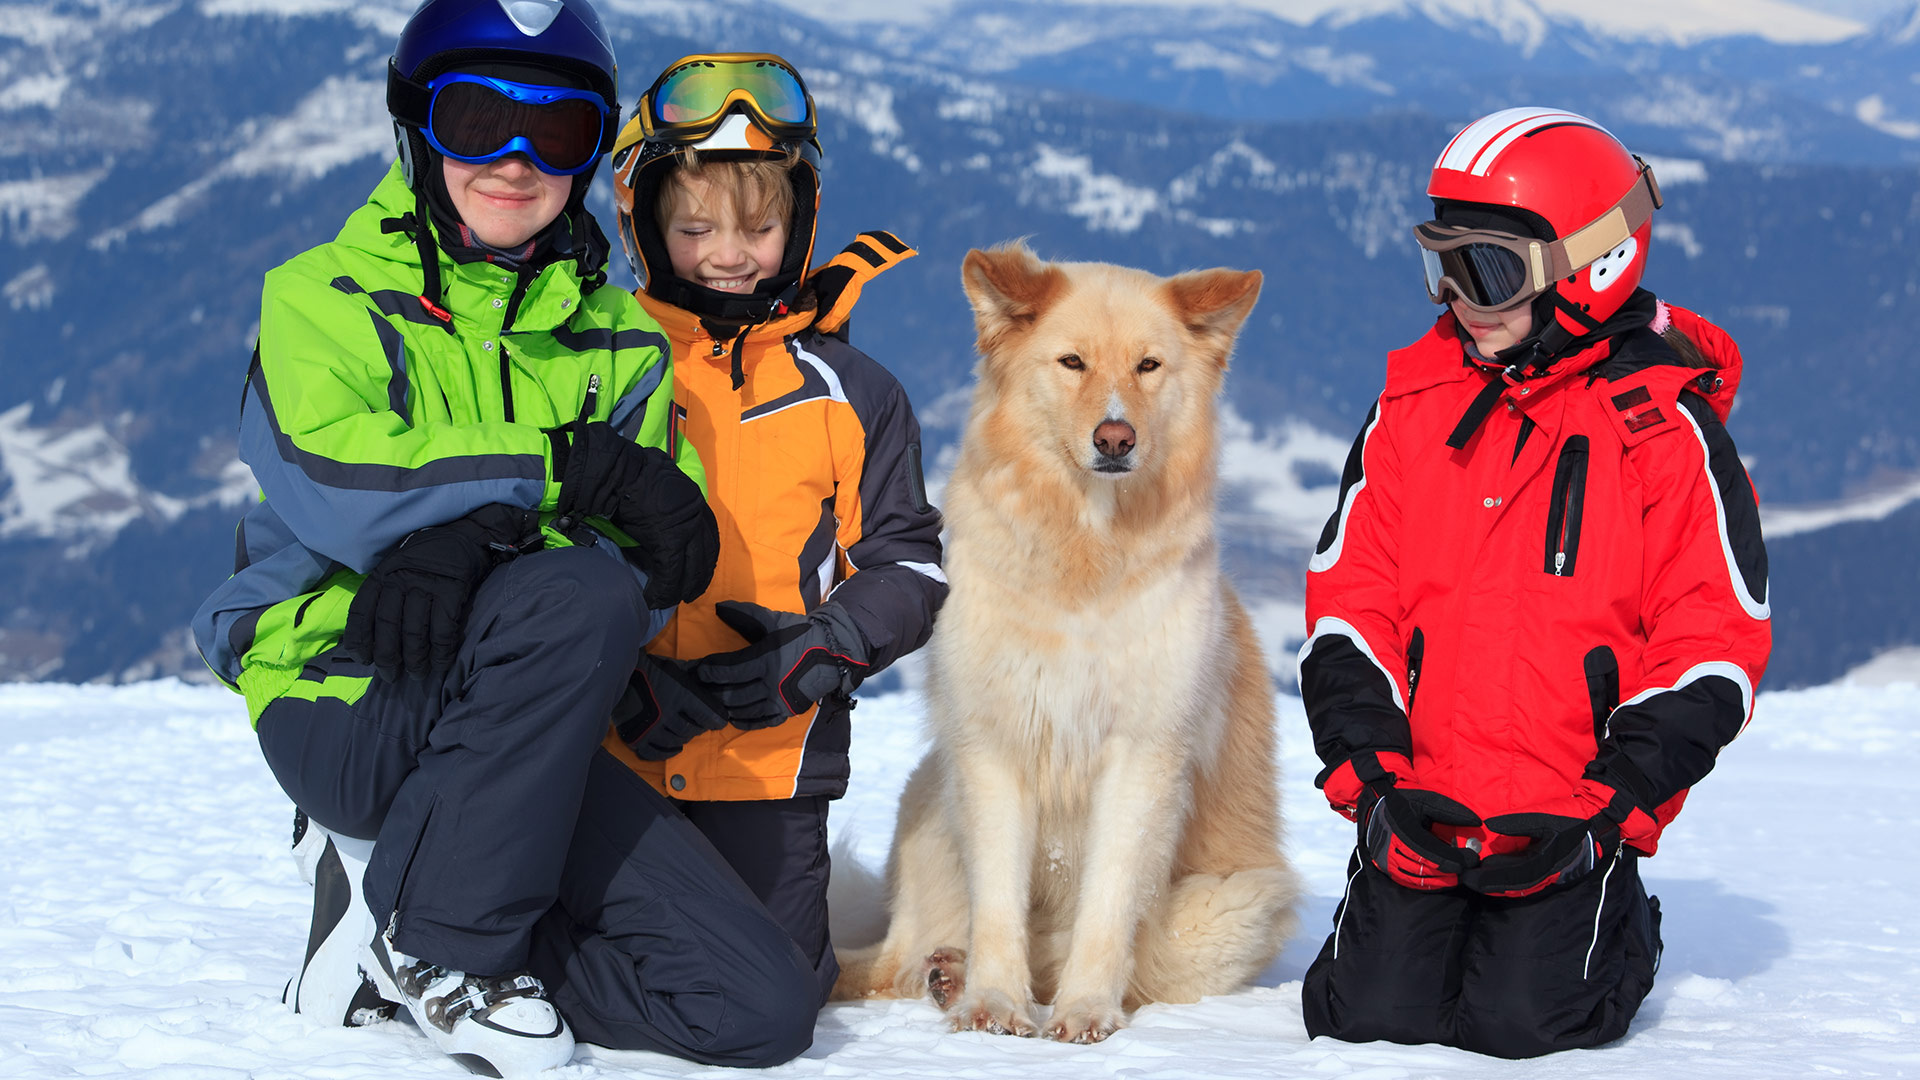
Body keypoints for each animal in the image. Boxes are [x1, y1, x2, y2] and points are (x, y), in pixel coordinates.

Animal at [833, 242, 1297, 1037]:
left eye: (1148, 366)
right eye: (1072, 362)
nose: (1116, 438)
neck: (1084, 557)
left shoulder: (1141, 758)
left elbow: (1105, 909)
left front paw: (1083, 1014)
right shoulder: (993, 746)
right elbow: (998, 904)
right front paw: (994, 1005)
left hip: (1237, 905)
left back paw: (958, 974)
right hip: (931, 799)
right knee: (897, 958)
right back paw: (943, 973)